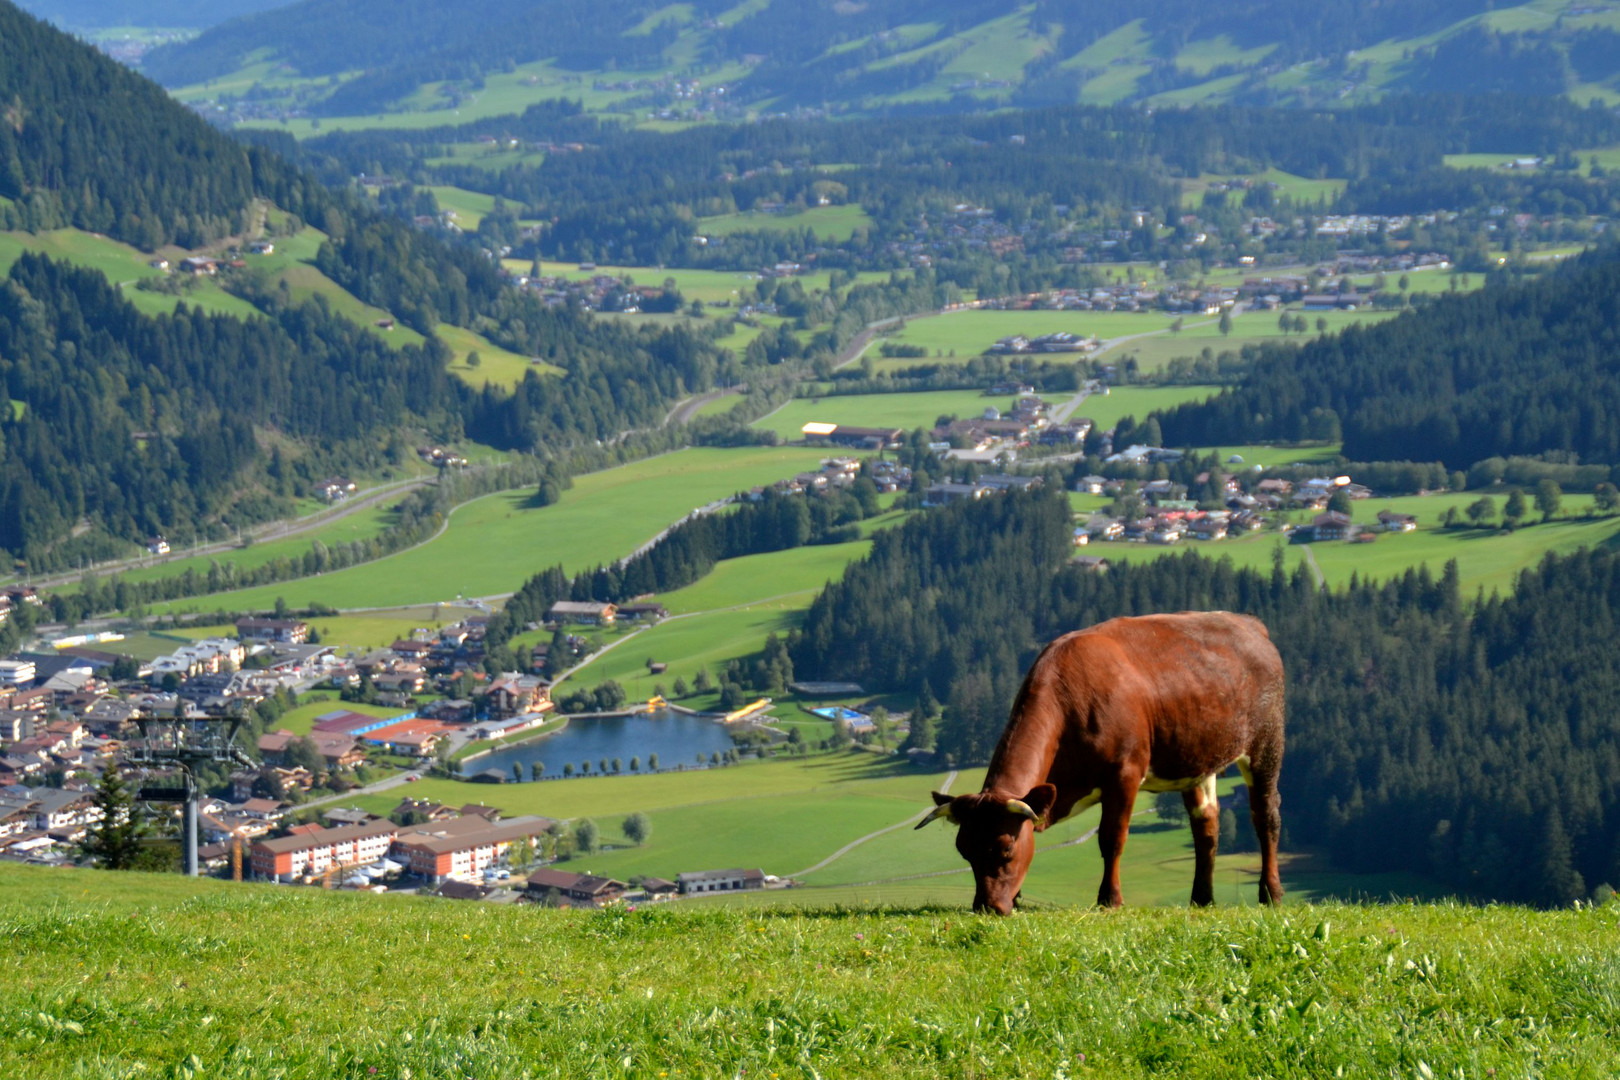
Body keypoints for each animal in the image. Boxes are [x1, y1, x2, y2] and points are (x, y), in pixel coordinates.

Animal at [920, 612, 1283, 906]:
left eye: (1005, 849)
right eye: (964, 850)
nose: (987, 906)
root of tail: (1249, 624)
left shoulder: (1124, 773)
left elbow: (1112, 838)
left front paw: (1110, 899)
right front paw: (1019, 896)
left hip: (1267, 744)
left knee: (1265, 816)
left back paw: (1271, 893)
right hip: (1195, 760)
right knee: (1206, 825)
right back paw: (1202, 899)